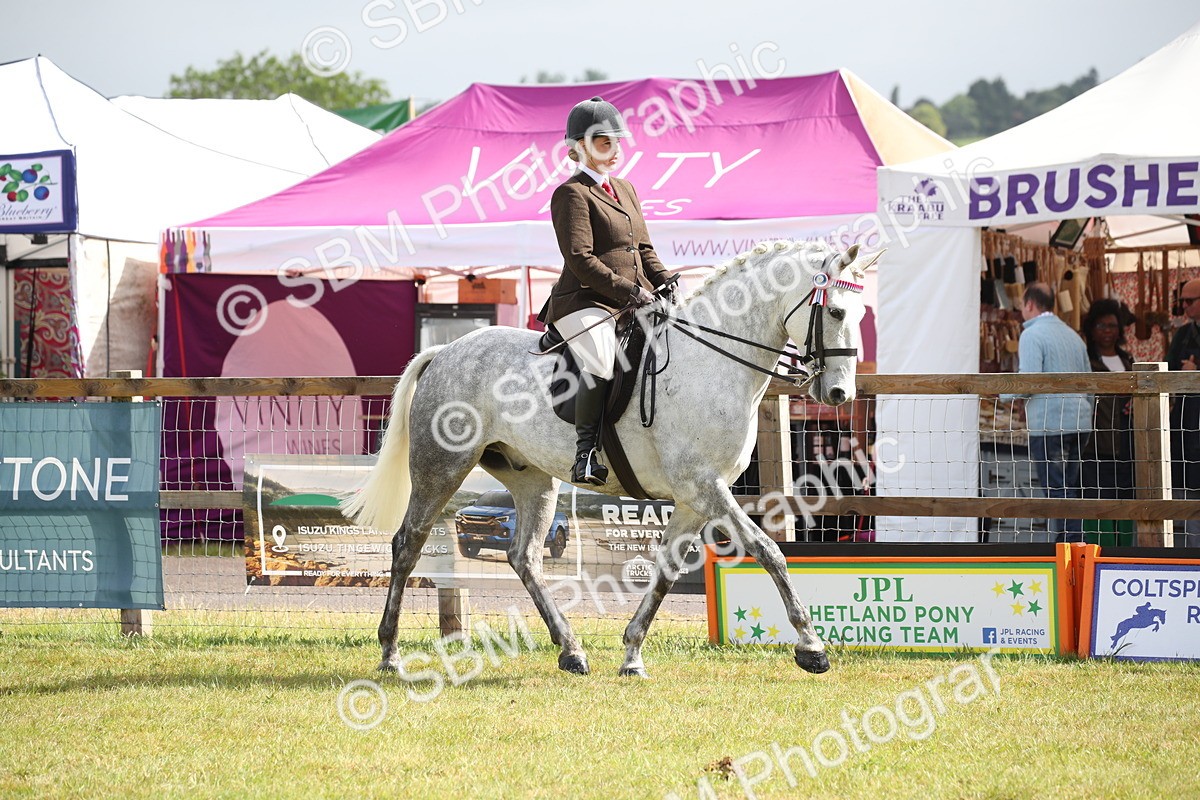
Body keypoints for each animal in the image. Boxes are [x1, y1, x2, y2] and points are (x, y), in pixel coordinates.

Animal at [341, 239, 868, 678]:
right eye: (836, 310)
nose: (839, 394)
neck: (713, 363)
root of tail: (447, 349)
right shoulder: (704, 486)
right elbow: (769, 551)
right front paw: (812, 647)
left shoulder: (695, 498)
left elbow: (664, 573)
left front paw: (632, 655)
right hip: (442, 467)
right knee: (407, 544)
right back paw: (389, 655)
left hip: (533, 479)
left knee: (523, 556)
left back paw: (571, 651)